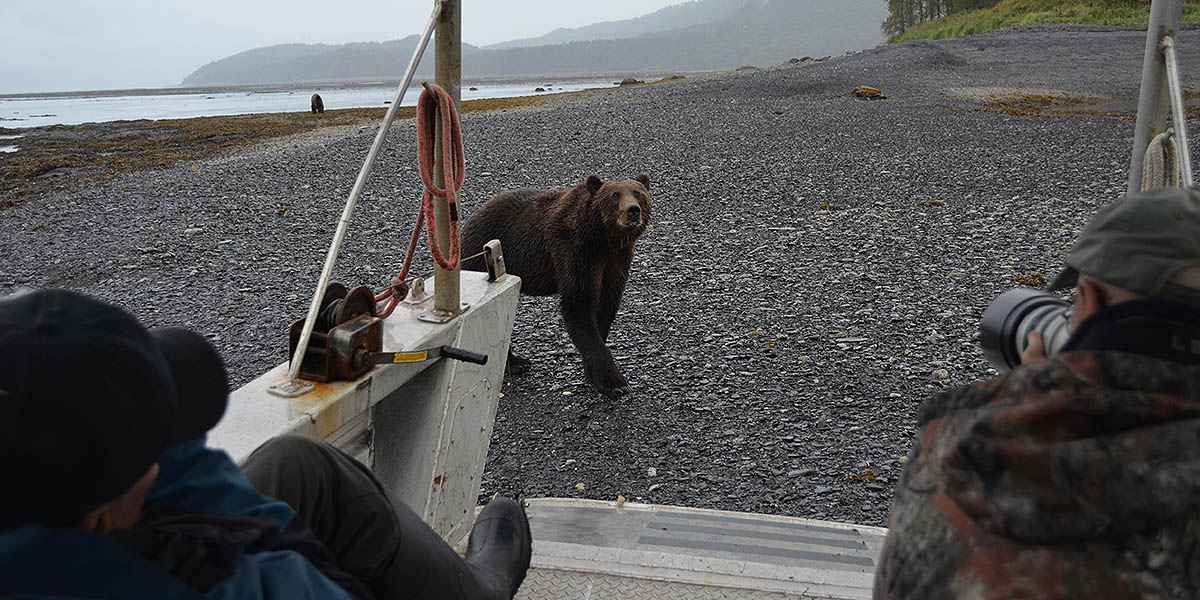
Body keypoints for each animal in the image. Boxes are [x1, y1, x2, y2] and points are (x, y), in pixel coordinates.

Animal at [458, 174, 652, 398]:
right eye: (615, 195)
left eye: (638, 193)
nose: (633, 210)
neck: (602, 237)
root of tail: (469, 220)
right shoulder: (575, 251)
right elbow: (578, 306)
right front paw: (615, 383)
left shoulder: (616, 260)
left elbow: (606, 307)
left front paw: (592, 372)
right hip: (484, 259)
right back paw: (515, 363)